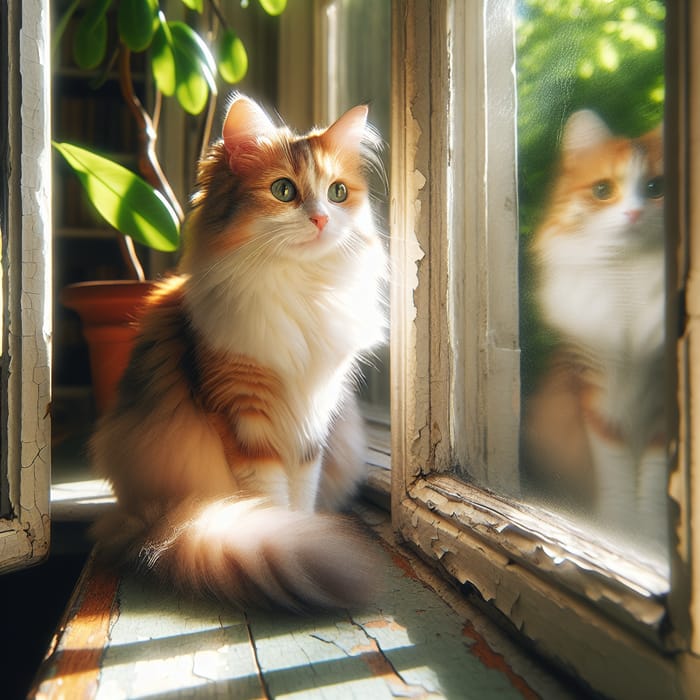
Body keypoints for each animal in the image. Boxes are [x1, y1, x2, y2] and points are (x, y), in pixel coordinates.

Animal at [87, 95, 388, 608]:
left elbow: (302, 490)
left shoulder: (313, 417)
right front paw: (285, 536)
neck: (300, 289)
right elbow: (270, 495)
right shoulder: (243, 415)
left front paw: (302, 530)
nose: (322, 219)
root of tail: (140, 516)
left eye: (338, 193)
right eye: (284, 191)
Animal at [524, 108, 668, 552]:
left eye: (656, 188)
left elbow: (652, 481)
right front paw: (620, 531)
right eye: (603, 190)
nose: (634, 215)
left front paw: (649, 538)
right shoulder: (594, 388)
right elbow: (618, 472)